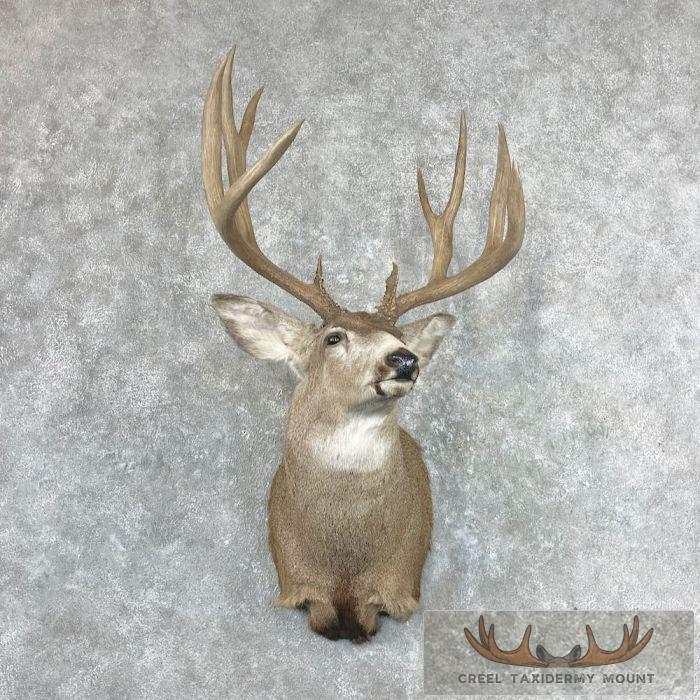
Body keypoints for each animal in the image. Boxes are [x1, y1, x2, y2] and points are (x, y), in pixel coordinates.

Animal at [201, 48, 525, 643]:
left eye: (399, 336)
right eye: (333, 337)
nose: (405, 359)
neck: (346, 560)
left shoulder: (398, 585)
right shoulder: (296, 582)